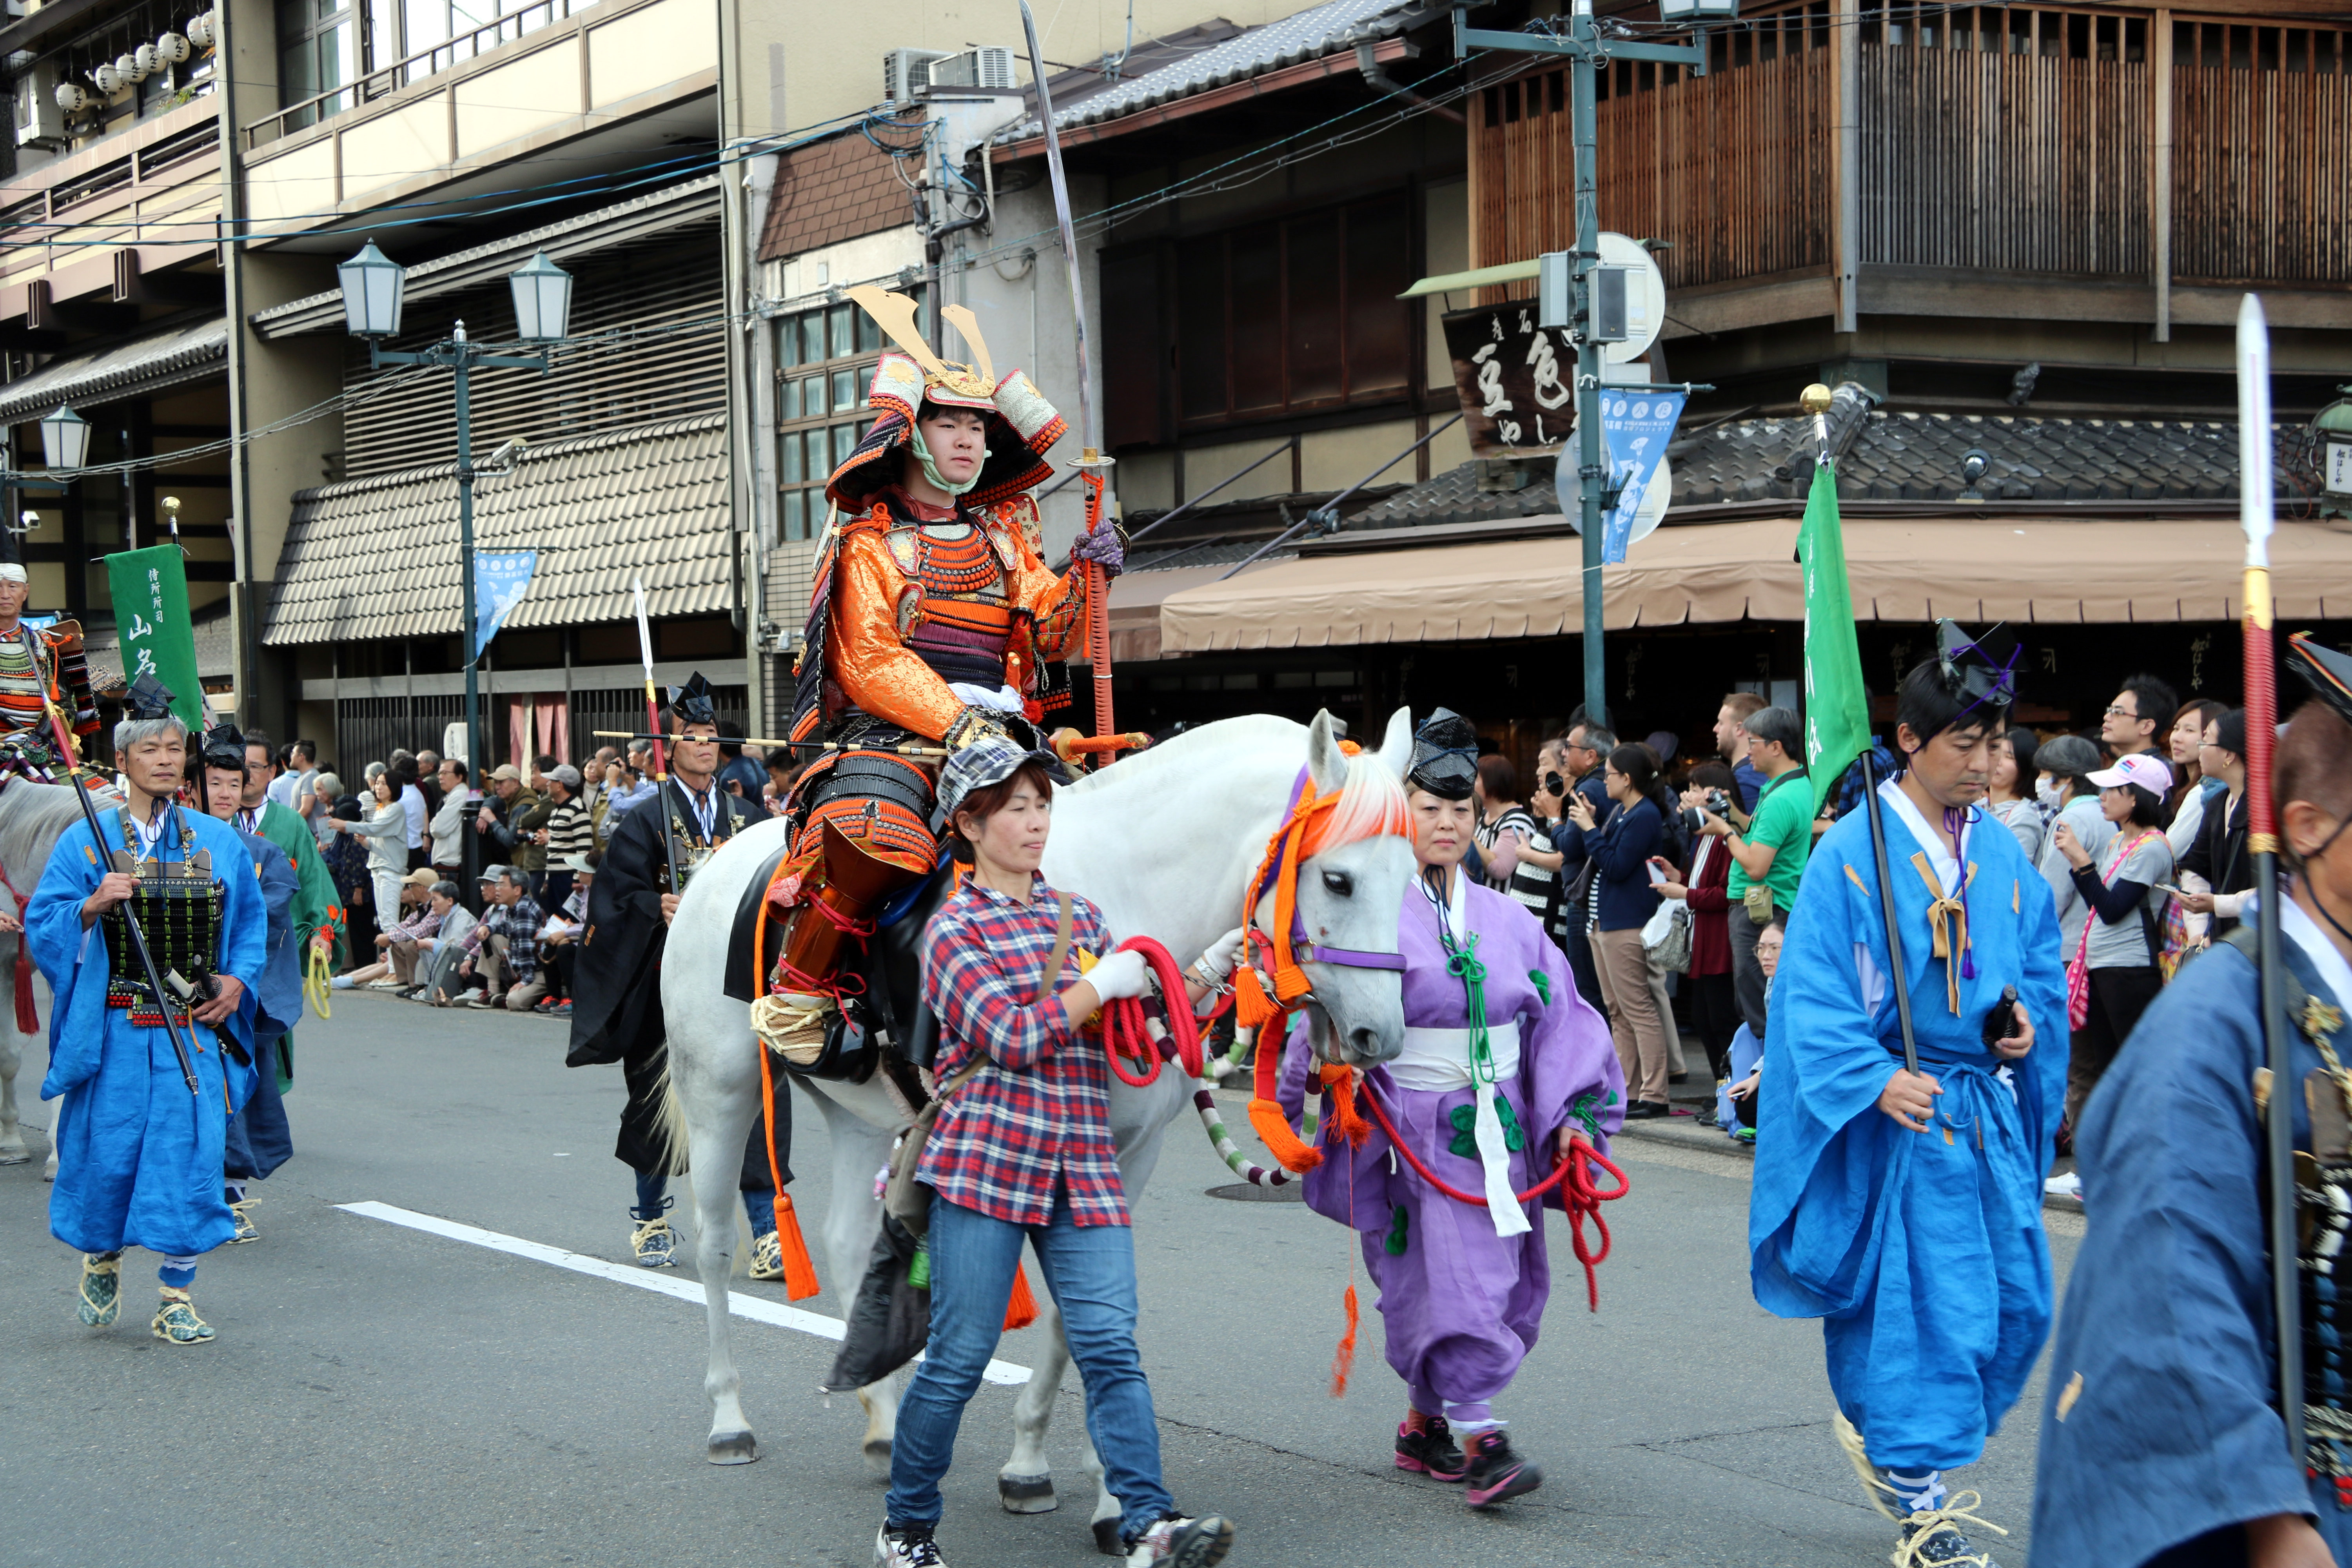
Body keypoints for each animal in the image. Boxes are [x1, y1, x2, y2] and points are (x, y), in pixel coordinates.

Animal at [659, 708, 1420, 1551]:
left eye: (1413, 876)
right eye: (1339, 879)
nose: (1379, 1035)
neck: (1129, 888)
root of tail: (713, 865)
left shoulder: (1131, 1154)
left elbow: (1073, 1314)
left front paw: (1059, 1477)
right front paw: (1100, 1489)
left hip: (856, 1109)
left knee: (849, 1241)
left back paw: (886, 1426)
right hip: (719, 1086)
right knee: (716, 1245)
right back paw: (730, 1419)